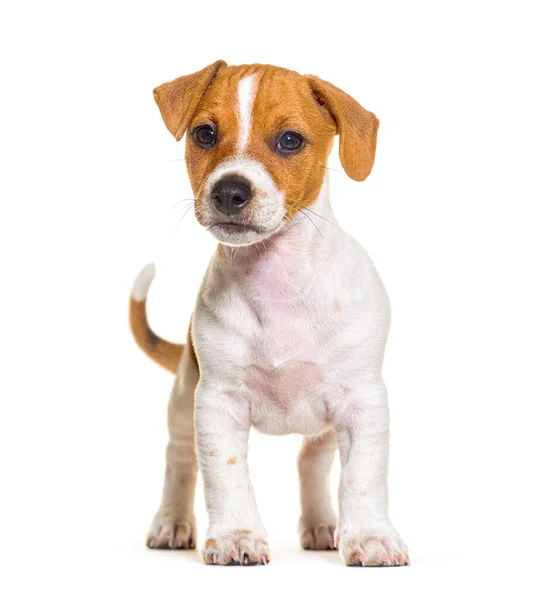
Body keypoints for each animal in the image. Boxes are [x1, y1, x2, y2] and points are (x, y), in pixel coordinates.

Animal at [127, 61, 408, 568]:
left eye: (290, 141)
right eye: (204, 133)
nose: (229, 191)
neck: (276, 281)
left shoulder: (363, 403)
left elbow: (362, 478)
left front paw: (371, 537)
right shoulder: (216, 402)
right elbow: (226, 475)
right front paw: (235, 535)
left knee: (311, 464)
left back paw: (321, 525)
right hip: (183, 395)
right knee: (180, 458)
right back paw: (172, 522)